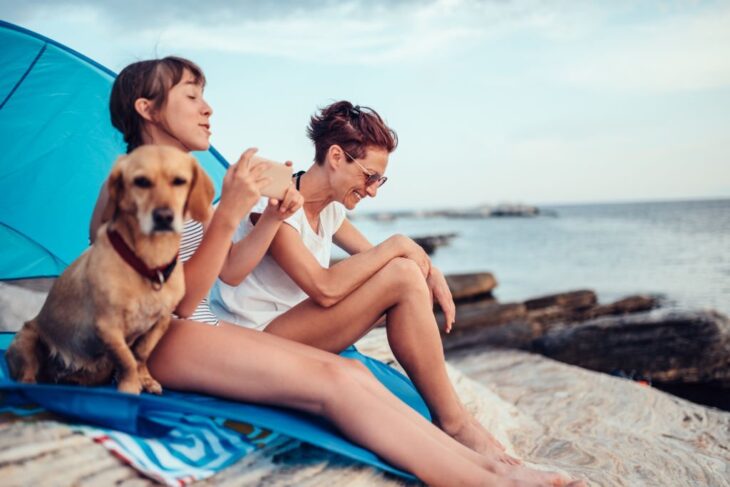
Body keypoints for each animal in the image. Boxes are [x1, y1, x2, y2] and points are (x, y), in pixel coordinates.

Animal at [4, 145, 213, 396]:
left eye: (179, 181)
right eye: (141, 181)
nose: (164, 216)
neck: (149, 264)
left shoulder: (161, 322)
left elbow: (141, 354)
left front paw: (145, 379)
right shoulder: (108, 327)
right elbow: (127, 359)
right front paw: (130, 386)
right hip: (26, 340)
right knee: (27, 376)